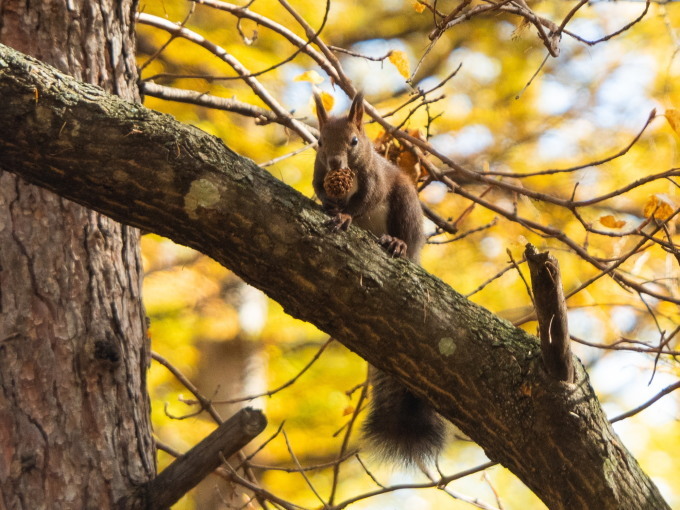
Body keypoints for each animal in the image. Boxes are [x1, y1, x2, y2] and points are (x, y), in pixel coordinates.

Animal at [314, 91, 446, 466]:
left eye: (354, 141)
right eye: (319, 141)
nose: (334, 163)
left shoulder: (375, 181)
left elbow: (364, 201)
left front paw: (344, 216)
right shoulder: (318, 175)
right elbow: (318, 190)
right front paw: (329, 205)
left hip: (405, 205)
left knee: (403, 231)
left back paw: (397, 243)